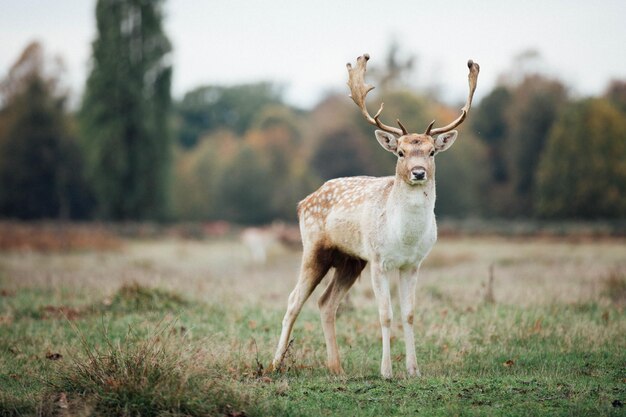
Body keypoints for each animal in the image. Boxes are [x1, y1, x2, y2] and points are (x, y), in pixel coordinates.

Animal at [270, 53, 478, 378]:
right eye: (400, 153)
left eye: (432, 152)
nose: (418, 172)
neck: (404, 238)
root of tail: (303, 202)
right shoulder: (379, 261)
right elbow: (385, 314)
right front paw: (386, 371)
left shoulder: (413, 264)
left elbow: (409, 314)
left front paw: (414, 370)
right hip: (315, 248)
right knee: (293, 301)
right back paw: (275, 364)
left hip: (350, 259)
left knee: (326, 302)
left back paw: (337, 368)